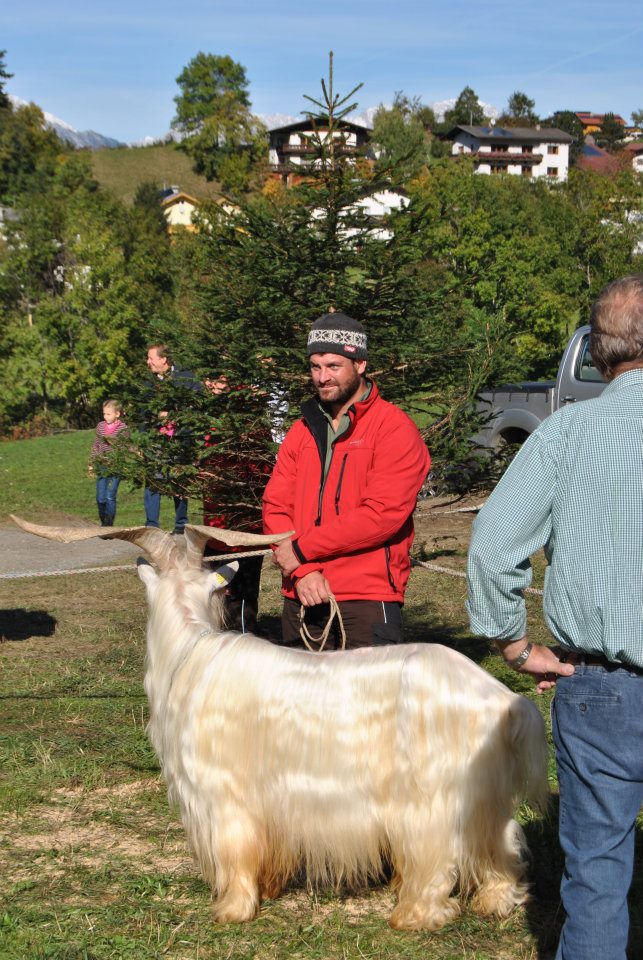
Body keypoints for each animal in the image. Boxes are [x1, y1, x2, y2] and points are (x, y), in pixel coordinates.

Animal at [11, 516, 548, 928]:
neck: (190, 650)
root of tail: (504, 699)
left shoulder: (222, 791)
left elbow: (233, 848)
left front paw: (232, 909)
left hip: (430, 797)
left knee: (436, 858)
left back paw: (413, 916)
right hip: (484, 793)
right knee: (502, 844)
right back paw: (495, 901)